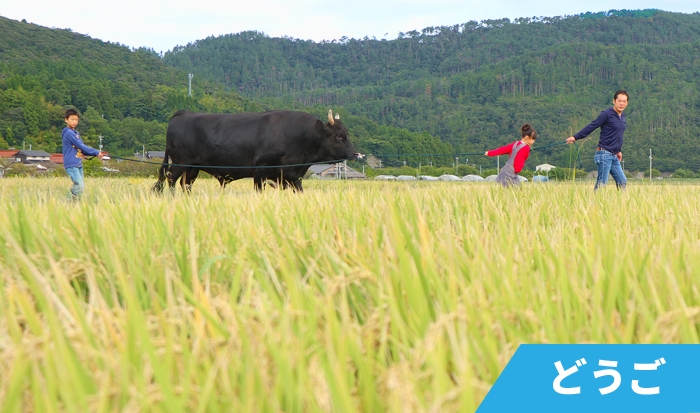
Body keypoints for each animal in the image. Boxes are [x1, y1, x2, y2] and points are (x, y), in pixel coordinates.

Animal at [152, 109, 360, 193]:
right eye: (339, 136)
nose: (355, 154)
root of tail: (183, 114)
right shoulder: (261, 170)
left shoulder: (292, 176)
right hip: (179, 163)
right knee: (171, 180)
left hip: (192, 168)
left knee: (186, 184)